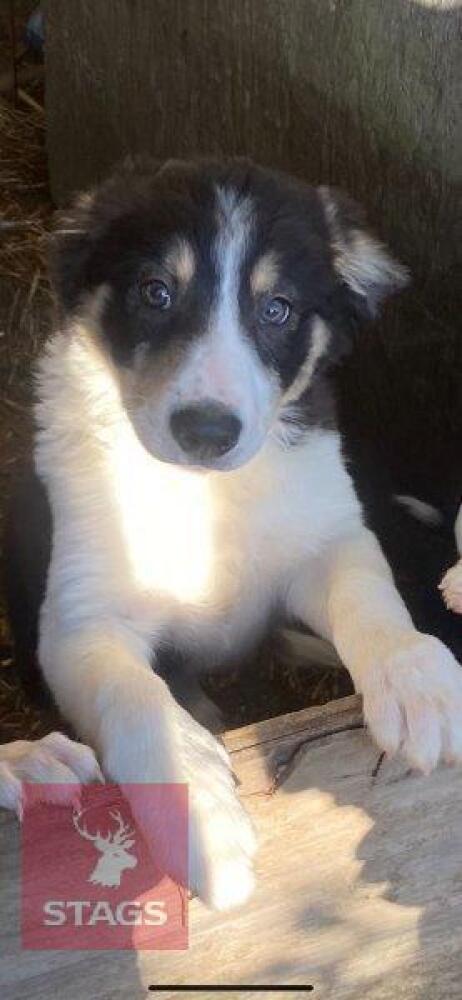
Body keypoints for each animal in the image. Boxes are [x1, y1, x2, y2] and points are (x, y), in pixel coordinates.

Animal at [2, 158, 462, 916]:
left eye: (276, 308)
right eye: (155, 292)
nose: (207, 432)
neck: (202, 491)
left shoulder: (329, 539)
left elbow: (372, 601)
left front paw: (419, 684)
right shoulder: (78, 621)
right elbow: (137, 699)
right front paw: (202, 818)